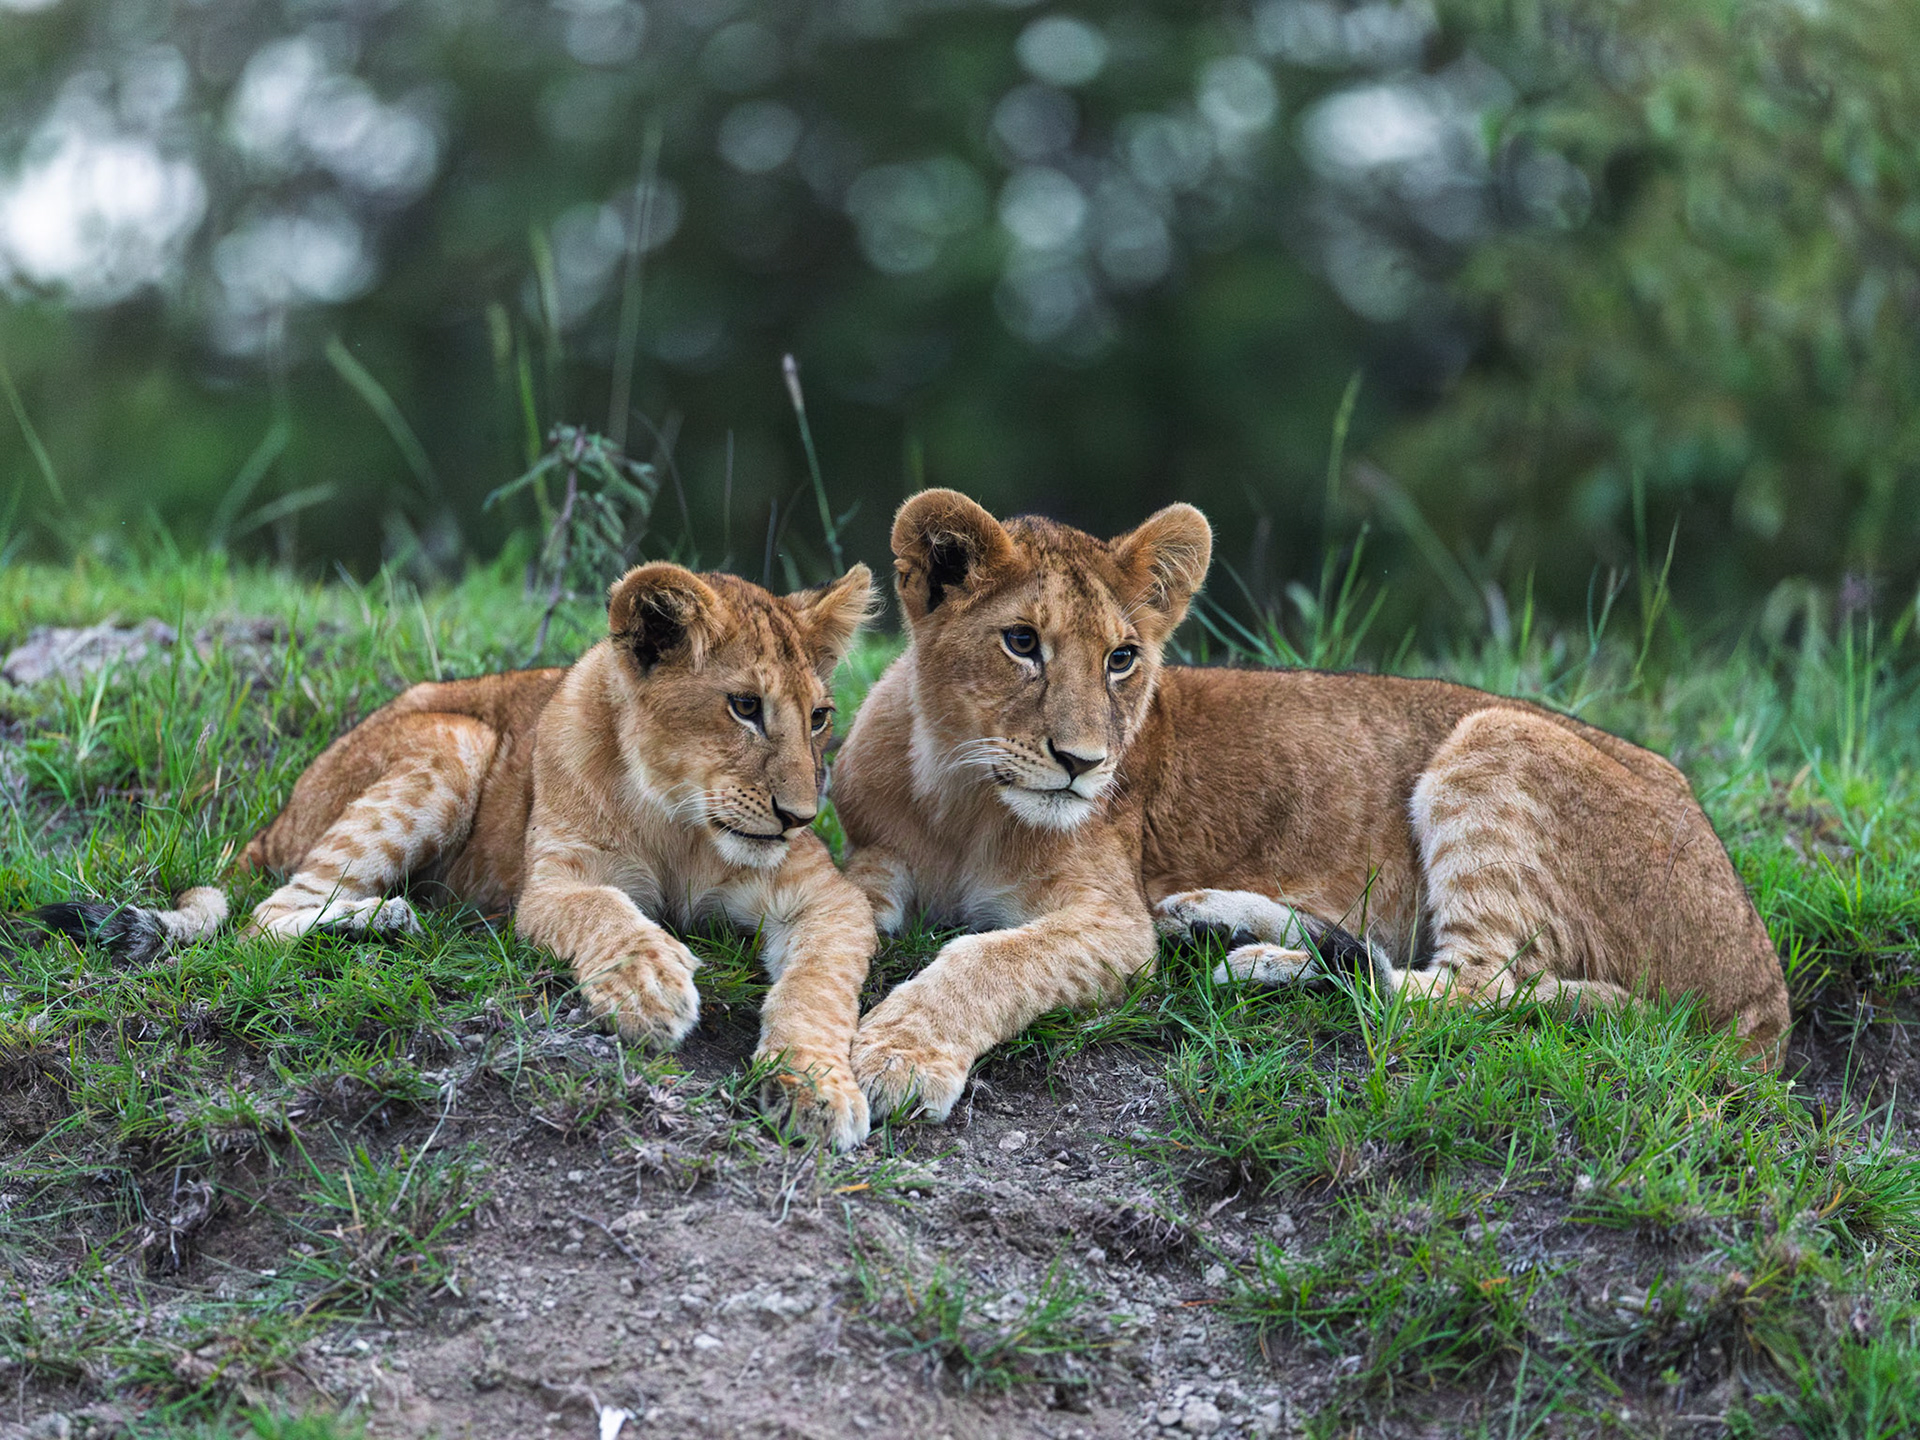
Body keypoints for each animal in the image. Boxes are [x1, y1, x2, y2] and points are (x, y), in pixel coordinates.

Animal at [39, 563, 881, 1149]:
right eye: (743, 707)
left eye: (819, 717)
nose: (799, 815)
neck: (683, 820)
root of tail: (286, 806)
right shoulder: (556, 884)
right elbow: (610, 915)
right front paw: (649, 987)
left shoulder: (828, 897)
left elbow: (819, 986)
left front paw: (814, 1088)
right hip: (455, 739)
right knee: (267, 920)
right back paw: (383, 921)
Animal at [831, 490, 1791, 1122]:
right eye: (1022, 643)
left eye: (1121, 659)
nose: (1083, 764)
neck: (959, 793)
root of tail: (1764, 992)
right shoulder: (877, 850)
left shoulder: (1110, 921)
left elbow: (989, 958)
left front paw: (900, 1057)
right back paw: (1218, 921)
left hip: (1495, 736)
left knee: (1467, 986)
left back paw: (1262, 961)